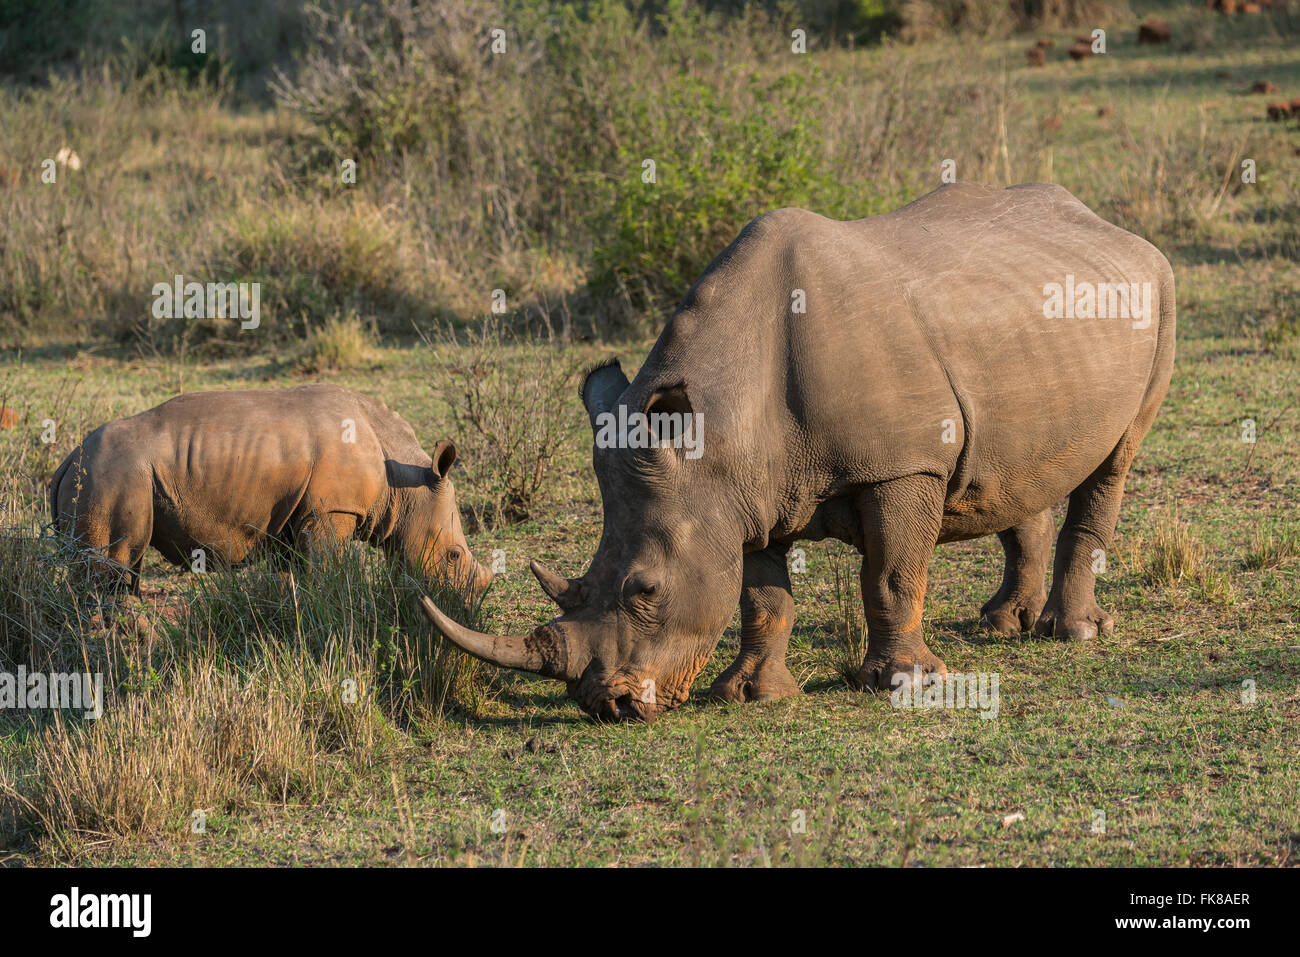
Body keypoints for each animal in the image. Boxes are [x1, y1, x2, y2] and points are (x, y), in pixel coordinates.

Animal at [50, 382, 491, 598]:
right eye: (453, 556)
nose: (466, 601)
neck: (403, 478)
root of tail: (67, 458)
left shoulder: (293, 518)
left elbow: (293, 577)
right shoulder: (331, 510)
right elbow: (327, 571)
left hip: (106, 473)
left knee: (120, 568)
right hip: (111, 473)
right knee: (110, 567)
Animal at [421, 180, 1175, 717]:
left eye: (645, 590)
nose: (605, 705)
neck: (725, 423)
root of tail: (1113, 227)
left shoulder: (902, 466)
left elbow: (892, 575)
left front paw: (906, 685)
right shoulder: (742, 492)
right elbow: (762, 596)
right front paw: (752, 695)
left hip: (1159, 291)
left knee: (1115, 459)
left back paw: (1074, 634)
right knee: (1018, 468)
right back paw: (1001, 625)